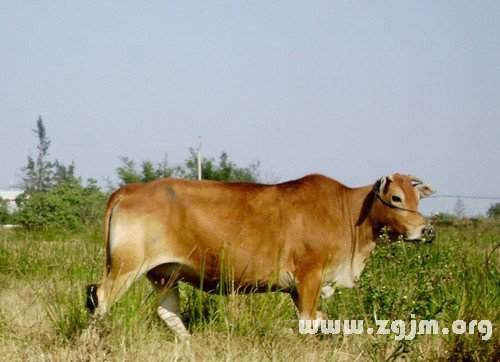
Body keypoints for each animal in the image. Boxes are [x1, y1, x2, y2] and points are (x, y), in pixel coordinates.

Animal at [85, 174, 434, 338]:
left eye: (418, 198)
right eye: (396, 197)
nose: (425, 230)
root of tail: (132, 188)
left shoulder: (300, 288)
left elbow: (318, 320)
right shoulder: (309, 277)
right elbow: (308, 322)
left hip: (164, 273)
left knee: (167, 311)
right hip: (125, 267)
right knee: (100, 298)